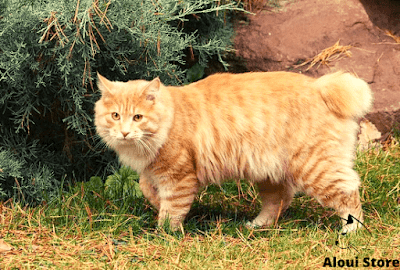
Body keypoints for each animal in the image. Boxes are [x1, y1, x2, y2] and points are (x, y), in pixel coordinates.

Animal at [95, 70, 374, 233]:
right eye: (115, 115)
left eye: (138, 117)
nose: (124, 133)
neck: (171, 118)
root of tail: (319, 87)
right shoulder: (153, 171)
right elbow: (146, 188)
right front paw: (155, 203)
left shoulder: (179, 177)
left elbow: (172, 209)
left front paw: (164, 233)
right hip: (269, 173)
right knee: (280, 201)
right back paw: (256, 226)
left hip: (317, 168)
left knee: (349, 193)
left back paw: (351, 231)